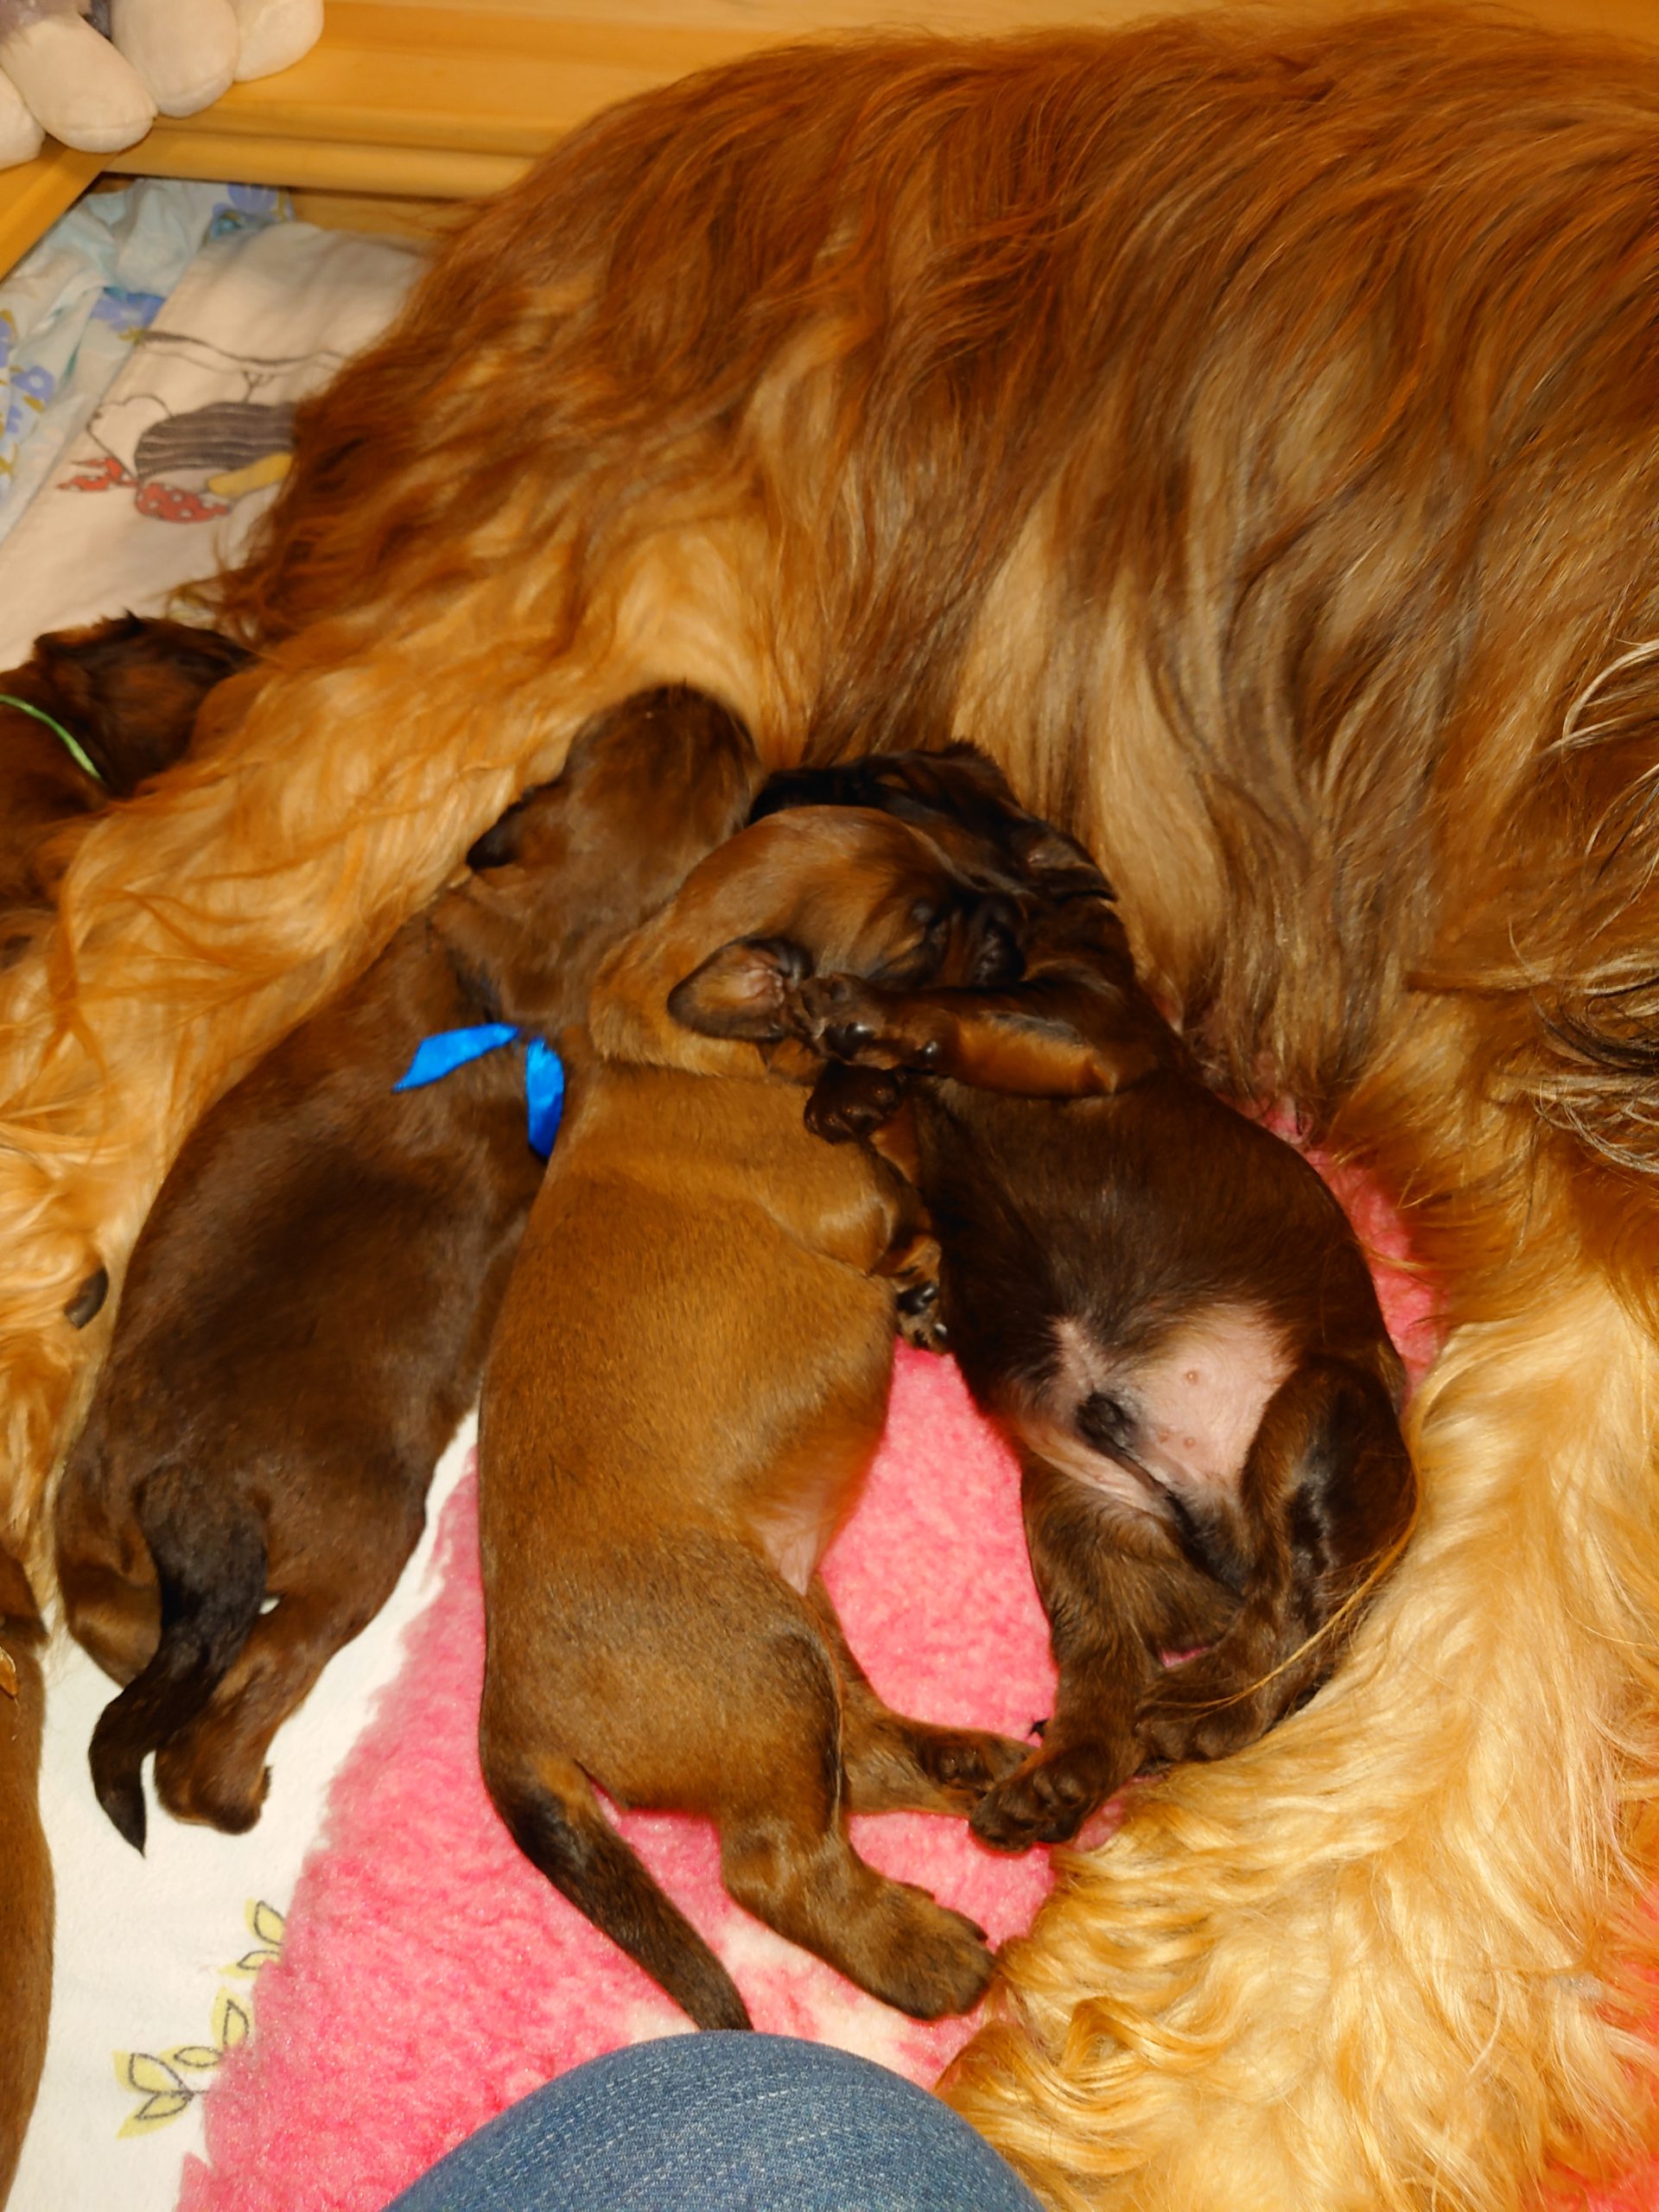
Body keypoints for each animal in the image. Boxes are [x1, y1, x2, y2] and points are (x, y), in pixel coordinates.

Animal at [56, 688, 756, 1850]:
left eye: (618, 733)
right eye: (737, 772)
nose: (694, 693)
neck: (524, 959)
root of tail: (180, 1489)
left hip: (105, 1560)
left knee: (146, 1655)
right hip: (362, 1546)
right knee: (229, 1710)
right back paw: (238, 1791)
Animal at [477, 803, 1030, 2028]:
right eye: (923, 929)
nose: (1025, 915)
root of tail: (506, 1707)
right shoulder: (857, 1200)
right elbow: (908, 1194)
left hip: (804, 1639)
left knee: (865, 1760)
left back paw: (977, 1766)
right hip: (768, 1666)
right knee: (778, 1865)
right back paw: (924, 1954)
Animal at [762, 747, 1417, 1849]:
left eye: (878, 776)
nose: (775, 777)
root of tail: (1213, 1543)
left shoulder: (1083, 1018)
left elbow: (960, 1014)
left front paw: (860, 1017)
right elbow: (899, 1126)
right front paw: (851, 1092)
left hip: (1310, 1419)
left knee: (1294, 1622)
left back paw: (1198, 1710)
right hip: (1077, 1524)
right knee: (1109, 1674)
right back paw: (1056, 1779)